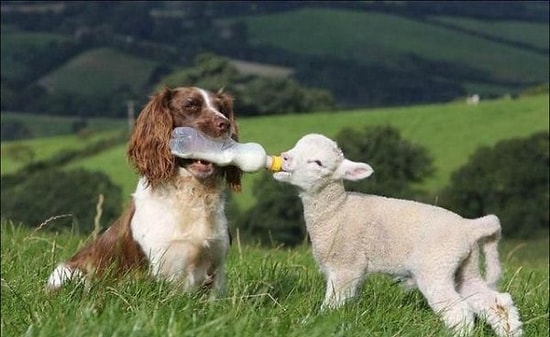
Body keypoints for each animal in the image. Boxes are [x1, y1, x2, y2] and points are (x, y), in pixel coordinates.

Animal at [48, 86, 244, 294]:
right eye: (190, 105)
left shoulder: (216, 267)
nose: (225, 125)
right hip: (70, 273)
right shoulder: (159, 268)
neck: (191, 194)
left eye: (222, 109)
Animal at [274, 134, 524, 336]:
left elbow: (333, 303)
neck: (337, 211)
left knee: (459, 311)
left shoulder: (346, 265)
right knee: (497, 302)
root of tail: (470, 227)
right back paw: (512, 331)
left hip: (435, 266)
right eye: (296, 146)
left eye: (318, 163)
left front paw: (316, 323)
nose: (284, 158)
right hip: (465, 268)